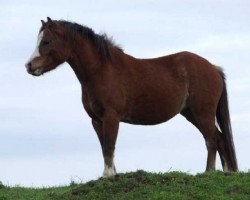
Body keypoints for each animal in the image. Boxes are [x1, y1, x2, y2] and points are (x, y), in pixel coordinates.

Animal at [25, 17, 238, 177]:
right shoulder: (96, 120)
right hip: (191, 114)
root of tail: (214, 69)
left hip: (202, 113)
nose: (29, 66)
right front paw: (112, 174)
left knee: (211, 140)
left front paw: (108, 175)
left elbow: (109, 145)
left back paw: (209, 172)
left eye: (47, 41)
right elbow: (104, 146)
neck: (102, 70)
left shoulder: (111, 116)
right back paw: (226, 172)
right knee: (219, 138)